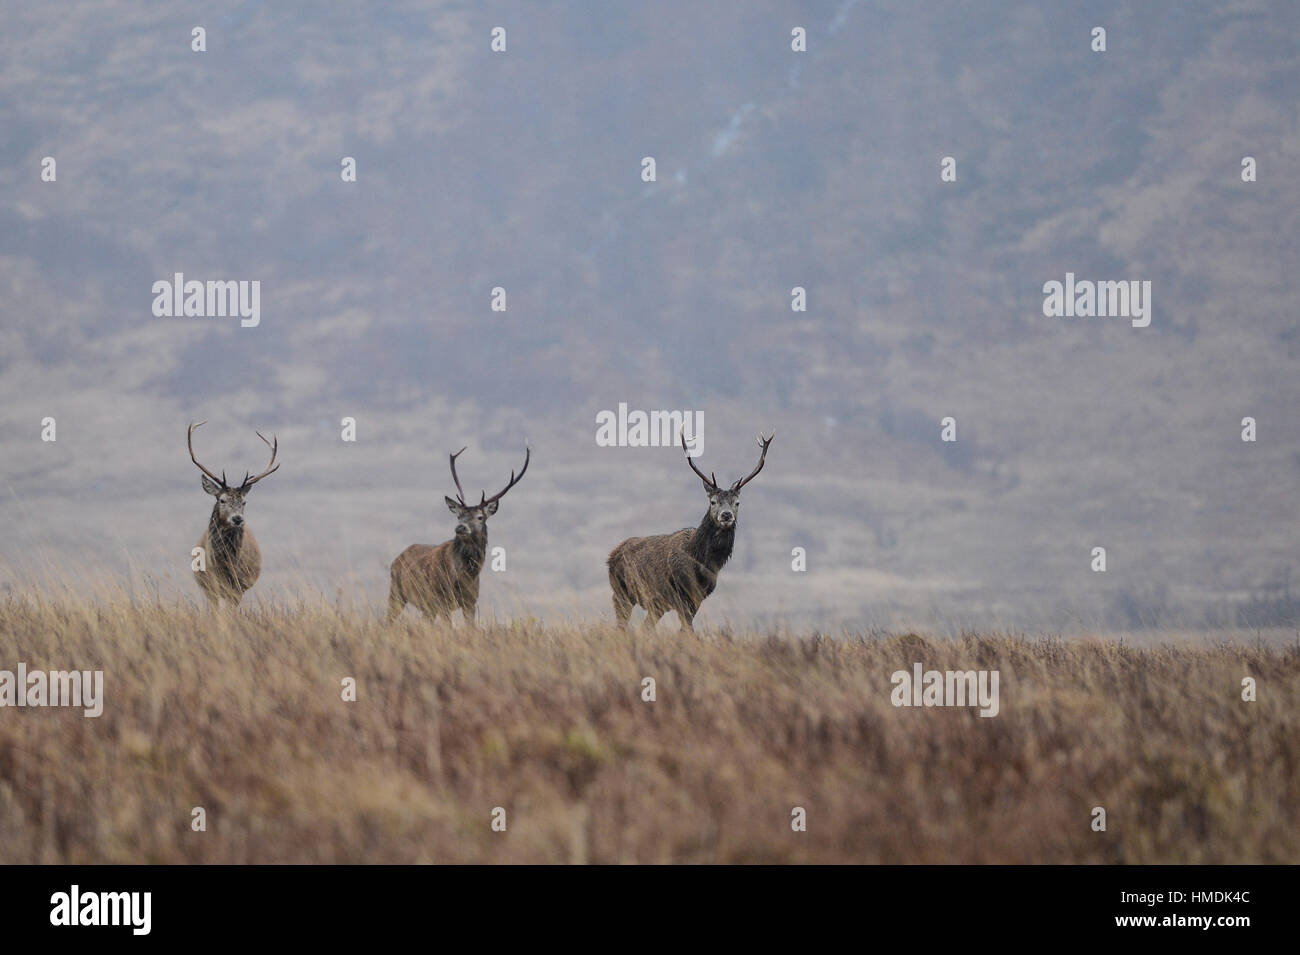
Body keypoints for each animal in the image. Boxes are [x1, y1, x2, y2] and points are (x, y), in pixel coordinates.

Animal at [187, 420, 280, 607]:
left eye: (244, 502)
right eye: (222, 500)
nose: (237, 518)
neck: (223, 567)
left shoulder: (238, 587)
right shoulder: (210, 586)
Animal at [387, 445, 530, 625]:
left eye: (480, 517)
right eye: (459, 516)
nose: (460, 528)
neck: (464, 576)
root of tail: (397, 558)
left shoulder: (471, 601)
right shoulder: (442, 600)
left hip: (427, 607)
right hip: (397, 593)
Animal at [608, 430, 773, 632]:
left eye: (737, 503)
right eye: (713, 501)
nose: (726, 515)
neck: (703, 562)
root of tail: (612, 554)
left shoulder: (698, 598)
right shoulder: (680, 593)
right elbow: (687, 630)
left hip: (655, 604)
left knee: (645, 627)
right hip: (621, 591)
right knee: (621, 625)